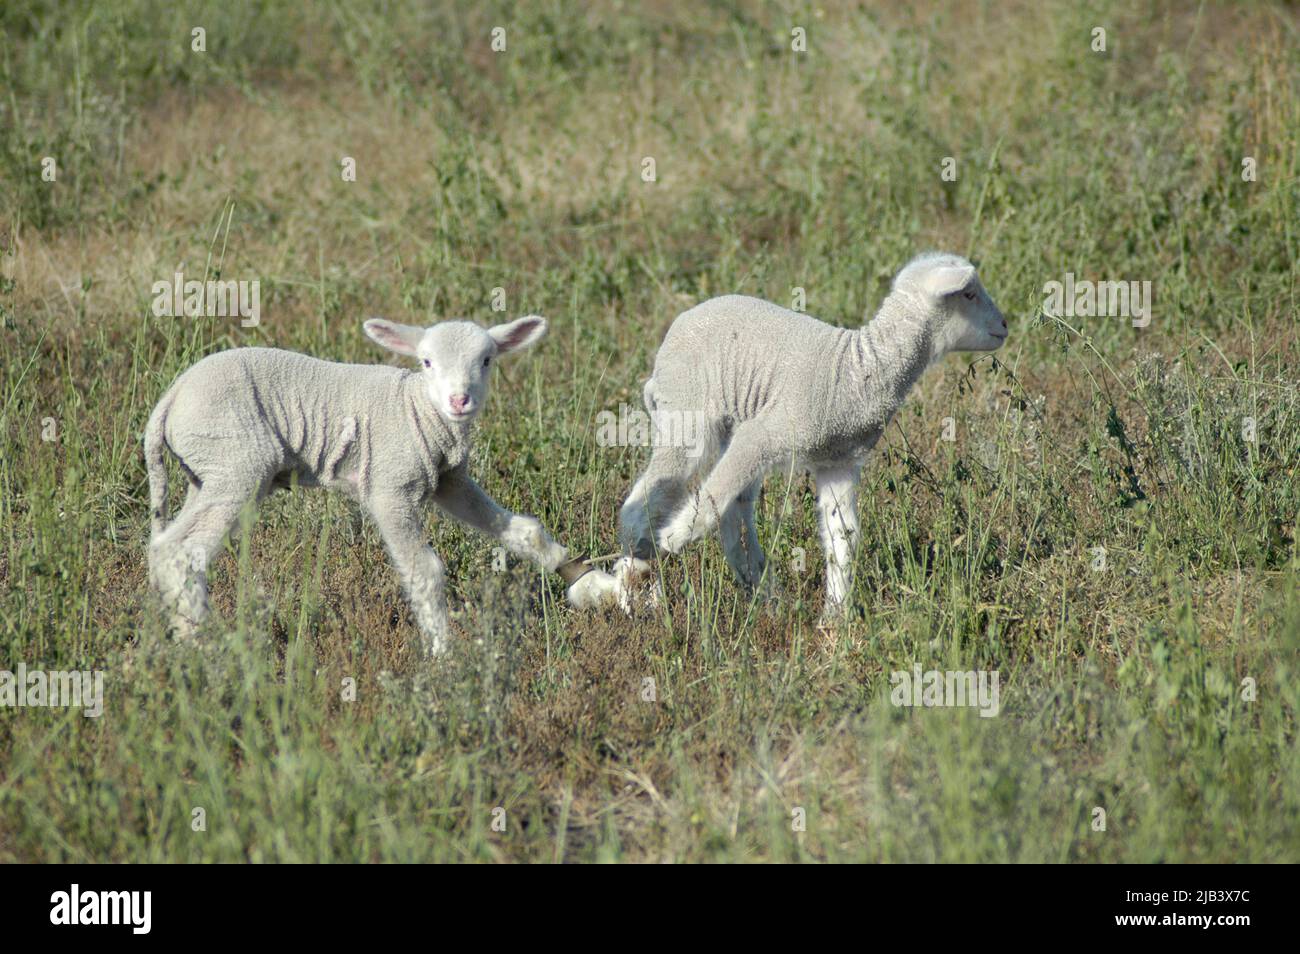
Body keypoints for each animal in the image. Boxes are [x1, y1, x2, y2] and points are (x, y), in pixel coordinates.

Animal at [144, 314, 611, 657]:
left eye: (487, 360)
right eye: (426, 362)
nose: (459, 400)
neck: (420, 410)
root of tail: (170, 398)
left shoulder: (450, 481)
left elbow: (524, 532)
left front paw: (594, 584)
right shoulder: (391, 487)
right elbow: (424, 570)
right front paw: (443, 656)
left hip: (208, 472)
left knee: (168, 548)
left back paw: (186, 635)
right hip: (236, 463)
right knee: (184, 552)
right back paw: (208, 648)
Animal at [612, 252, 1007, 618]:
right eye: (969, 293)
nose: (1005, 325)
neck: (860, 369)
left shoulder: (839, 462)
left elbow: (842, 537)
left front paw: (836, 617)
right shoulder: (764, 432)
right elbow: (710, 499)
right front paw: (672, 539)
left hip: (729, 426)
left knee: (735, 516)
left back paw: (763, 593)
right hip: (688, 412)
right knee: (650, 499)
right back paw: (637, 588)